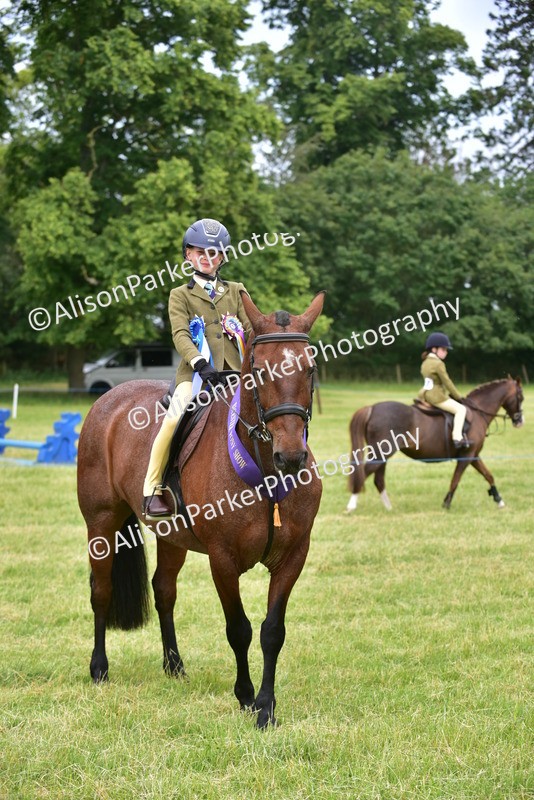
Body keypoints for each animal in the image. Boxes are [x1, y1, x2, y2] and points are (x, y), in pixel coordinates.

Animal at [77, 291, 325, 729]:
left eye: (309, 369)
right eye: (259, 371)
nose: (292, 456)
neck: (265, 472)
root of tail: (109, 397)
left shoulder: (293, 556)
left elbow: (272, 631)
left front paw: (267, 708)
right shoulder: (222, 560)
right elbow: (239, 629)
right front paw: (245, 697)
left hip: (171, 536)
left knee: (164, 590)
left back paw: (174, 666)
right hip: (101, 523)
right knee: (101, 591)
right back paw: (99, 668)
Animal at [346, 377, 524, 512]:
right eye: (520, 397)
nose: (519, 421)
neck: (478, 412)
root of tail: (372, 408)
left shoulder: (473, 455)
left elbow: (488, 475)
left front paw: (499, 500)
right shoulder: (466, 457)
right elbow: (455, 479)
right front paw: (446, 503)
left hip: (382, 455)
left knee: (378, 479)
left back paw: (389, 508)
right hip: (380, 453)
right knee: (364, 473)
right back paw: (352, 505)